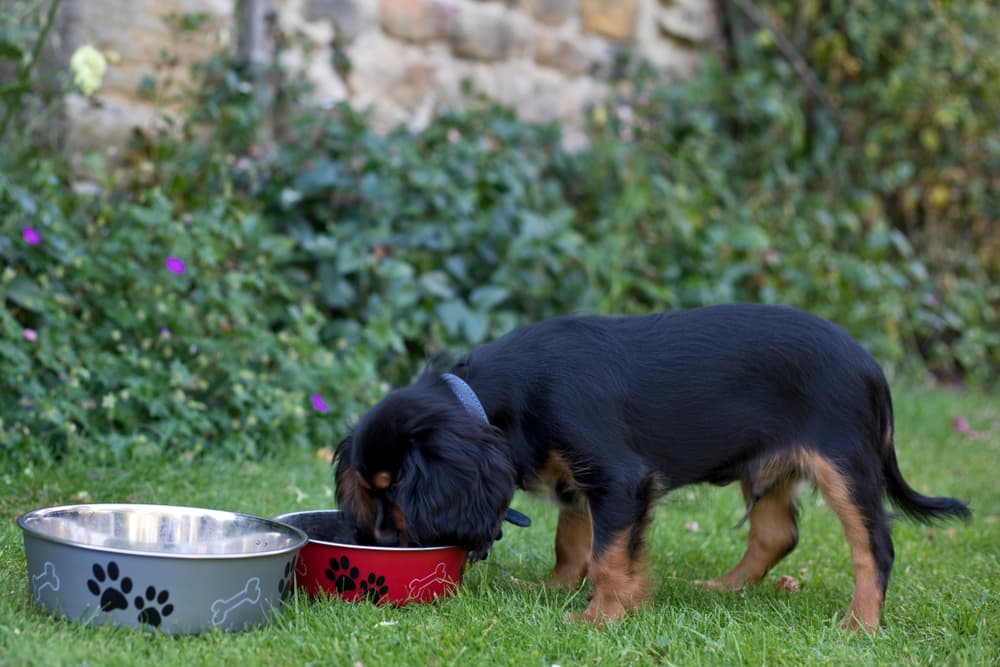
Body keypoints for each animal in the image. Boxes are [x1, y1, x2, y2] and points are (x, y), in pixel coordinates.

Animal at [334, 306, 968, 636]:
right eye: (369, 492)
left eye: (395, 492)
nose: (377, 541)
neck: (496, 399)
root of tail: (871, 365)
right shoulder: (580, 481)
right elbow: (573, 542)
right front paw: (554, 589)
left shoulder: (618, 478)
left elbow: (609, 556)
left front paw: (600, 616)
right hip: (768, 463)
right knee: (776, 533)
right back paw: (724, 588)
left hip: (843, 464)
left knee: (873, 546)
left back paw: (859, 625)